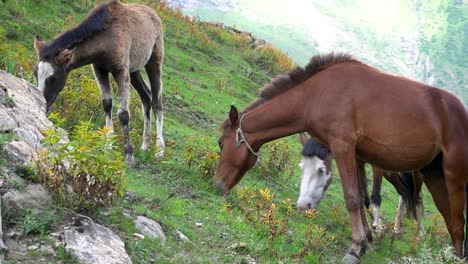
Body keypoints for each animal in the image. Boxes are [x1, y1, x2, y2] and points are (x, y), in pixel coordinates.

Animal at [33, 0, 165, 164]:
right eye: (35, 74)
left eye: (53, 78)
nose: (42, 107)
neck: (107, 39)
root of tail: (154, 14)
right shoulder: (99, 69)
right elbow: (107, 104)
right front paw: (107, 145)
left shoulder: (121, 70)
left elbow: (123, 113)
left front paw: (129, 155)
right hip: (135, 69)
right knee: (146, 97)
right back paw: (145, 145)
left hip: (154, 62)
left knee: (157, 102)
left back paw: (159, 150)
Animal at [214, 52, 468, 262]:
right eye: (301, 167)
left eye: (220, 143)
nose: (217, 184)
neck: (316, 93)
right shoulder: (356, 155)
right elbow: (362, 196)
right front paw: (367, 238)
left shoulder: (343, 147)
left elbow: (352, 197)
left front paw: (356, 247)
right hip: (433, 174)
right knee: (447, 216)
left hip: (454, 175)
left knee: (457, 220)